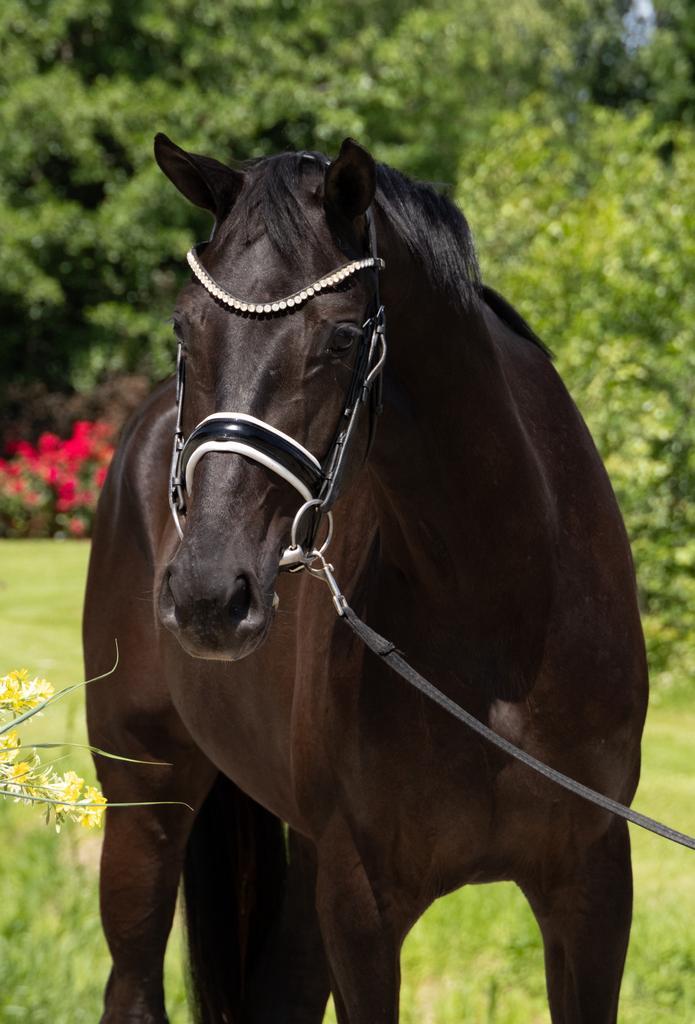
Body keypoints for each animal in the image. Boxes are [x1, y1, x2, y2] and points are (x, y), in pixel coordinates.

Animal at [83, 133, 648, 1024]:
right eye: (184, 325)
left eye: (343, 337)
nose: (207, 596)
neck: (501, 615)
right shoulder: (361, 902)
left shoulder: (591, 885)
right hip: (145, 801)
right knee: (132, 988)